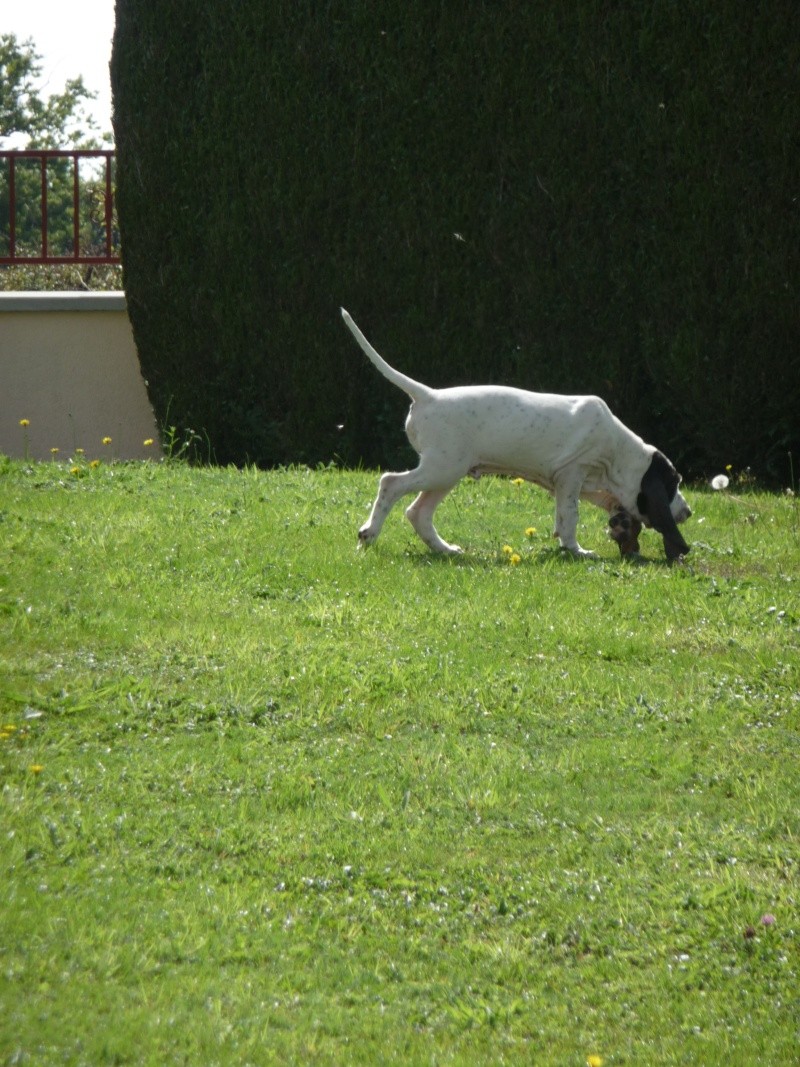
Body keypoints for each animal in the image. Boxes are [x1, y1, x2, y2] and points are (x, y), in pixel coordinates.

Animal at [341, 309, 691, 563]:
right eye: (673, 484)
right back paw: (369, 534)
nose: (688, 512)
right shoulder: (571, 473)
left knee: (418, 512)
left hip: (448, 471)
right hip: (442, 468)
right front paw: (577, 551)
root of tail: (429, 395)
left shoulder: (587, 484)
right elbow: (570, 515)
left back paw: (445, 549)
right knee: (391, 483)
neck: (620, 452)